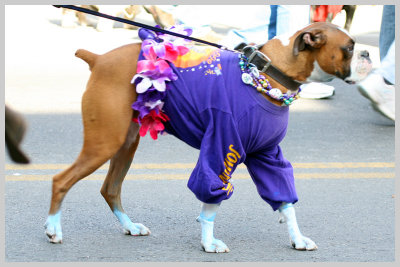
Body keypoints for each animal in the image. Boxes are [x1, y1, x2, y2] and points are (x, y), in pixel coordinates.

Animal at [44, 23, 372, 253]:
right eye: (349, 47)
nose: (368, 53)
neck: (267, 72)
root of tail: (98, 58)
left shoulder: (268, 157)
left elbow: (285, 200)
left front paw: (298, 238)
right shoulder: (222, 147)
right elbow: (212, 197)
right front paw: (209, 242)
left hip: (126, 144)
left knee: (110, 188)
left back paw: (129, 226)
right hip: (104, 142)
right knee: (61, 180)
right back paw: (53, 229)